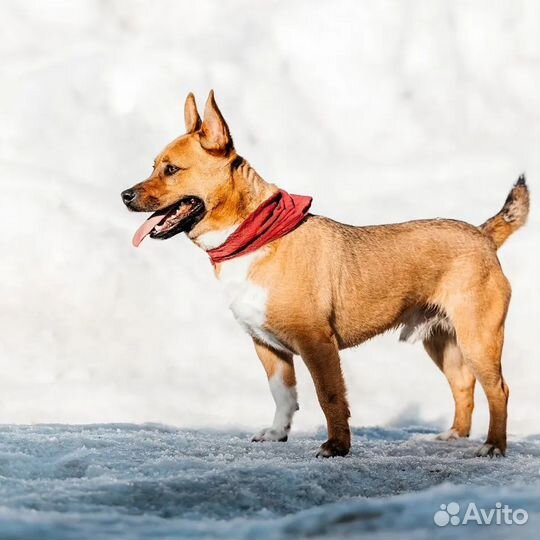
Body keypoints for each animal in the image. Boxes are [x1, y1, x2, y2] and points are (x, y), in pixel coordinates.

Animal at [120, 90, 528, 458]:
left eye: (171, 170)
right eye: (153, 166)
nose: (124, 195)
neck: (250, 234)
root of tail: (483, 235)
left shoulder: (317, 344)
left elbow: (329, 396)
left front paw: (337, 447)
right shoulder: (268, 347)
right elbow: (283, 395)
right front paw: (277, 433)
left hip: (478, 338)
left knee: (498, 390)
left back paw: (494, 445)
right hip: (442, 341)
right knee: (463, 387)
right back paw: (455, 436)